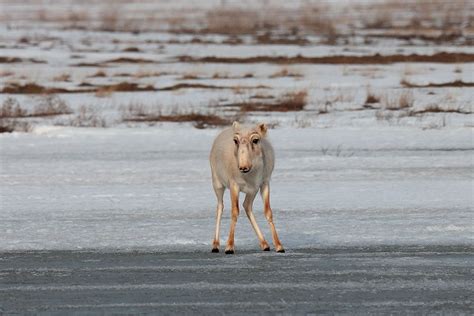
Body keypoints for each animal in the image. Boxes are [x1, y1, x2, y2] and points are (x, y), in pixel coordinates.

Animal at [209, 121, 284, 254]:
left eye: (255, 140)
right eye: (235, 140)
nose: (243, 167)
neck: (251, 174)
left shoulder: (264, 183)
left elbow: (268, 212)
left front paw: (279, 246)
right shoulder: (234, 185)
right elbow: (234, 212)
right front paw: (229, 246)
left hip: (252, 192)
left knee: (247, 206)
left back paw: (264, 244)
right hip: (217, 184)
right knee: (220, 207)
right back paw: (215, 245)